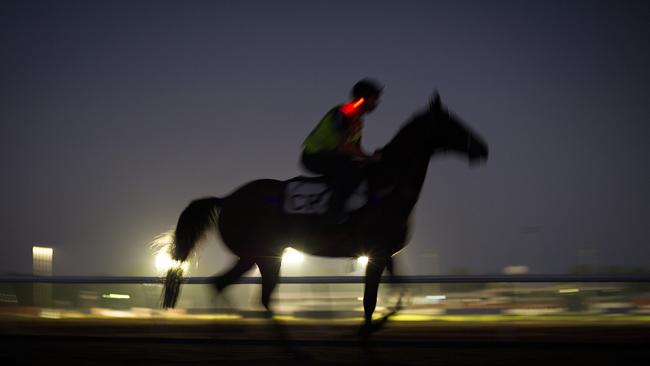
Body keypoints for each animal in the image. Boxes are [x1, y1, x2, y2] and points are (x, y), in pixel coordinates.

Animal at [161, 91, 486, 332]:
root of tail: (227, 198)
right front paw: (366, 329)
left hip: (253, 256)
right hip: (264, 255)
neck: (387, 186)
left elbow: (401, 296)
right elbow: (370, 302)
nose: (483, 149)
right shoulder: (376, 253)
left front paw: (380, 322)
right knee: (254, 295)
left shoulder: (388, 254)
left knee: (224, 285)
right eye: (450, 123)